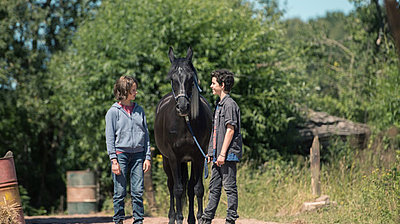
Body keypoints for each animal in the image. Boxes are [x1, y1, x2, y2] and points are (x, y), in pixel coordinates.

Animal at [155, 46, 214, 223]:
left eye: (190, 78)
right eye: (172, 78)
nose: (183, 107)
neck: (185, 124)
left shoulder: (199, 156)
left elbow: (197, 188)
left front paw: (200, 218)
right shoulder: (174, 157)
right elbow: (177, 189)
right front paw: (179, 218)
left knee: (189, 187)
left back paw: (191, 218)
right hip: (167, 160)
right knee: (171, 186)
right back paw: (172, 217)